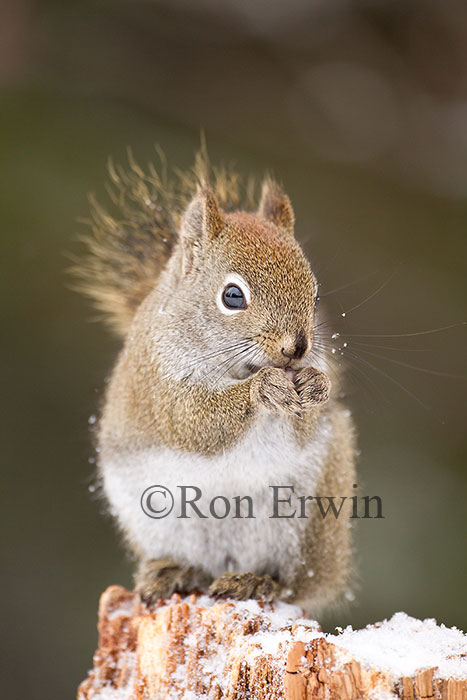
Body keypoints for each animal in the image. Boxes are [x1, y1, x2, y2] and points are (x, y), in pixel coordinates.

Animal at [74, 146, 357, 616]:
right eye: (232, 296)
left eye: (315, 295)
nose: (297, 348)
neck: (239, 368)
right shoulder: (160, 383)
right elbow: (197, 422)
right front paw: (264, 390)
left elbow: (305, 423)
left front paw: (316, 384)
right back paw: (175, 572)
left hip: (304, 522)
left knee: (291, 585)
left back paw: (254, 580)